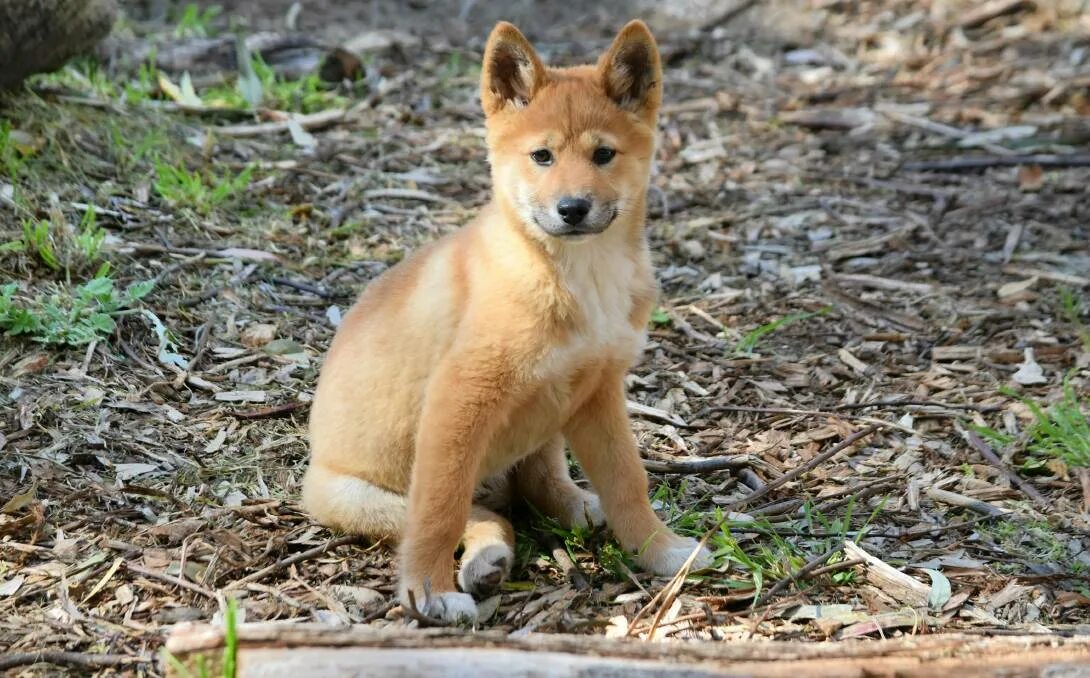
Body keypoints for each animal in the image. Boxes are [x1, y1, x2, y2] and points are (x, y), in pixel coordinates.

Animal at [305, 19, 715, 627]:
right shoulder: (459, 402)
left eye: (603, 154)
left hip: (550, 413)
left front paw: (659, 550)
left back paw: (571, 508)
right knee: (479, 513)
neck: (575, 273)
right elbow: (441, 508)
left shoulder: (598, 390)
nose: (572, 208)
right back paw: (484, 561)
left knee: (535, 483)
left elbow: (627, 478)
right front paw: (427, 590)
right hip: (364, 496)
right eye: (541, 156)